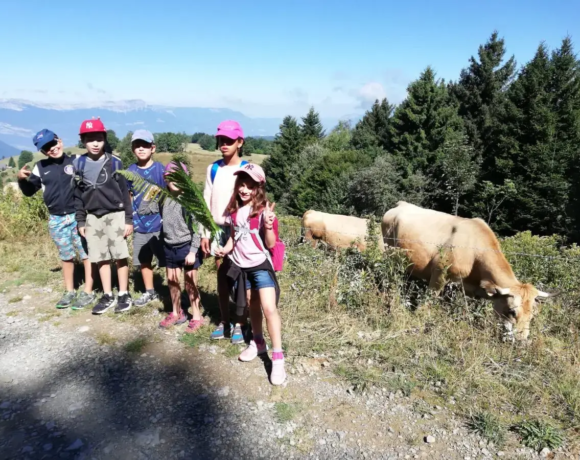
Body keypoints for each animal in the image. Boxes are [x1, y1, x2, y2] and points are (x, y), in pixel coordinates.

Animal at [380, 202, 552, 342]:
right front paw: (419, 319)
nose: (522, 341)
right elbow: (429, 301)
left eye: (532, 315)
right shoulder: (439, 275)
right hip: (388, 254)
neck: (475, 251)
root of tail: (401, 204)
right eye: (512, 312)